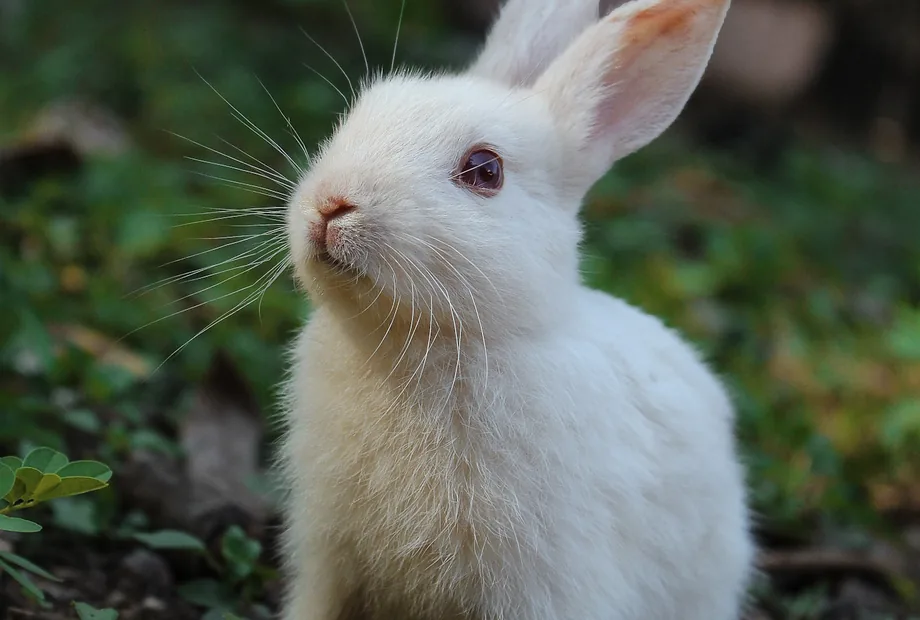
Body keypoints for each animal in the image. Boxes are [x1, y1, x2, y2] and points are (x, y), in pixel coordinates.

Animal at [278, 0, 755, 618]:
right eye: (356, 117)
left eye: (486, 170)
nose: (331, 205)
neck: (417, 340)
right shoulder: (328, 559)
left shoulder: (541, 585)